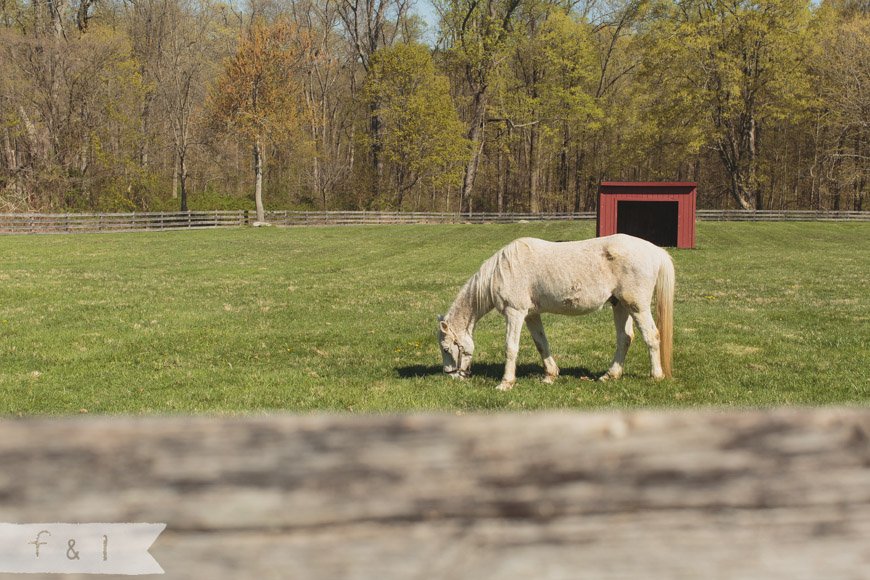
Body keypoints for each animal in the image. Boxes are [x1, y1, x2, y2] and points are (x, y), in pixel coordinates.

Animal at [440, 234, 676, 390]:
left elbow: (510, 348)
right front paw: (550, 376)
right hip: (620, 305)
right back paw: (610, 375)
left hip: (637, 306)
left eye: (446, 348)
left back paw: (656, 376)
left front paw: (506, 383)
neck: (502, 270)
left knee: (651, 336)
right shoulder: (531, 315)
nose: (451, 376)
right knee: (625, 339)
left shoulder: (515, 313)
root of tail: (655, 250)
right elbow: (541, 344)